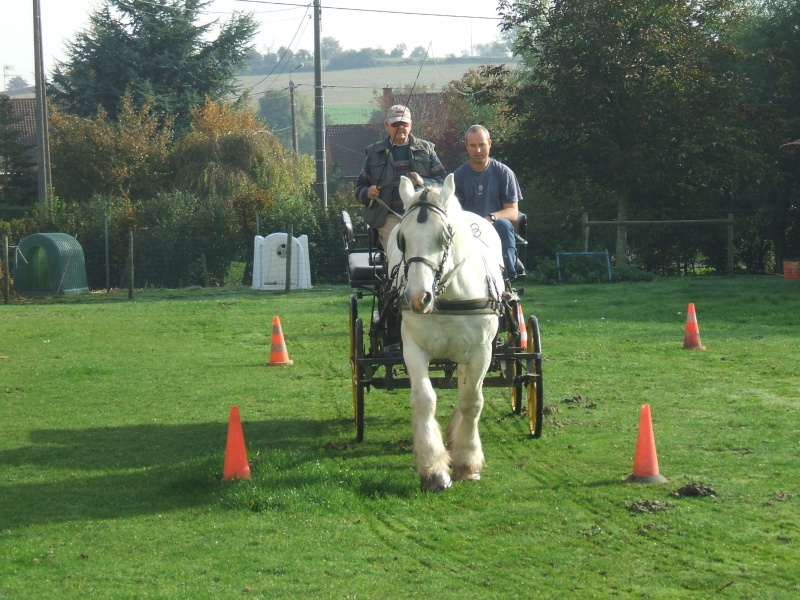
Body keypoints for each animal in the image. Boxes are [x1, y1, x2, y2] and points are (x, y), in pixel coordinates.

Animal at [386, 173, 504, 492]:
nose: (418, 297)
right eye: (402, 239)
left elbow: (472, 400)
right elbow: (424, 399)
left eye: (444, 237)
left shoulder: (482, 351)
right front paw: (433, 469)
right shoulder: (412, 348)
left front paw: (467, 460)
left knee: (466, 388)